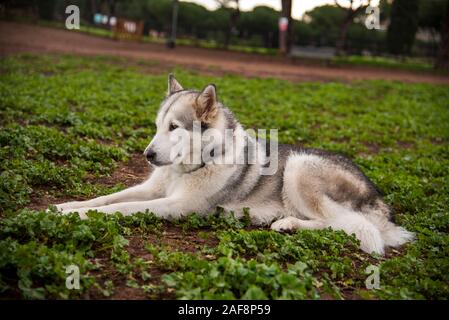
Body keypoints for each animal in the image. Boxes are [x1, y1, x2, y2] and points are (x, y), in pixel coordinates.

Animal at [54, 74, 414, 255]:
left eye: (174, 127)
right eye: (157, 126)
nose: (148, 155)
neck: (196, 164)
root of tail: (380, 200)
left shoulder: (178, 205)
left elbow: (119, 209)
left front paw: (76, 216)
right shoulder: (151, 189)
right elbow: (107, 198)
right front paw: (65, 207)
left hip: (299, 167)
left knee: (351, 226)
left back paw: (289, 224)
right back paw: (288, 222)